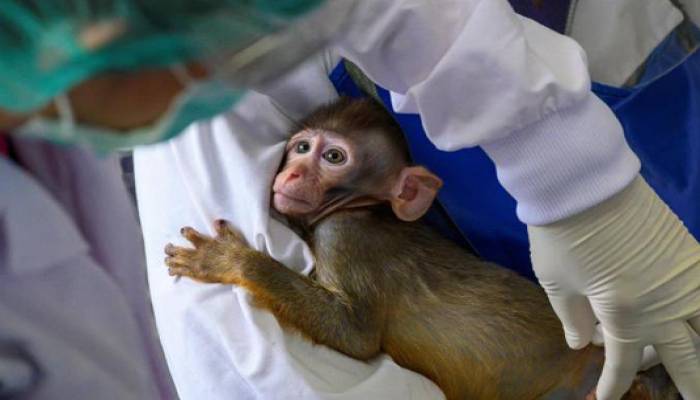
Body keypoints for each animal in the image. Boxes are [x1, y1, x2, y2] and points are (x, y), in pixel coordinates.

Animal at [164, 97, 677, 400]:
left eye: (333, 157)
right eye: (302, 147)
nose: (290, 173)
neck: (367, 209)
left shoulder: (343, 237)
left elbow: (355, 335)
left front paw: (232, 261)